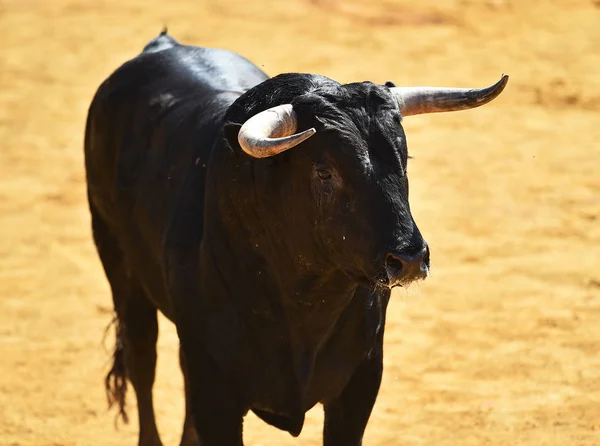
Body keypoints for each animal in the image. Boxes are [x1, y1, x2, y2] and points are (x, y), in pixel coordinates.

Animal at [84, 29, 506, 444]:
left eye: (405, 160)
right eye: (324, 171)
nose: (410, 259)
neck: (306, 303)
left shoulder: (362, 379)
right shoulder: (215, 385)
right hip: (119, 266)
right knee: (142, 362)